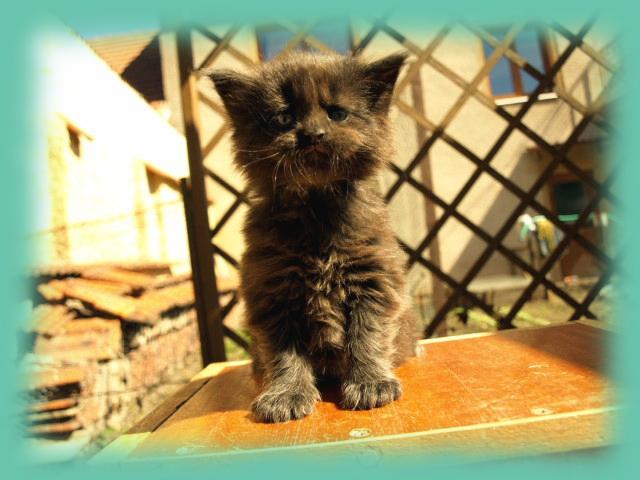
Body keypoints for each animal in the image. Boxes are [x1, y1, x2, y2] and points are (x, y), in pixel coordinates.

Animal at [210, 51, 418, 423]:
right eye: (284, 117)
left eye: (337, 113)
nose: (312, 134)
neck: (317, 207)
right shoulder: (272, 293)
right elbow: (285, 353)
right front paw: (286, 395)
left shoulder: (373, 281)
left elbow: (368, 335)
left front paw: (370, 384)